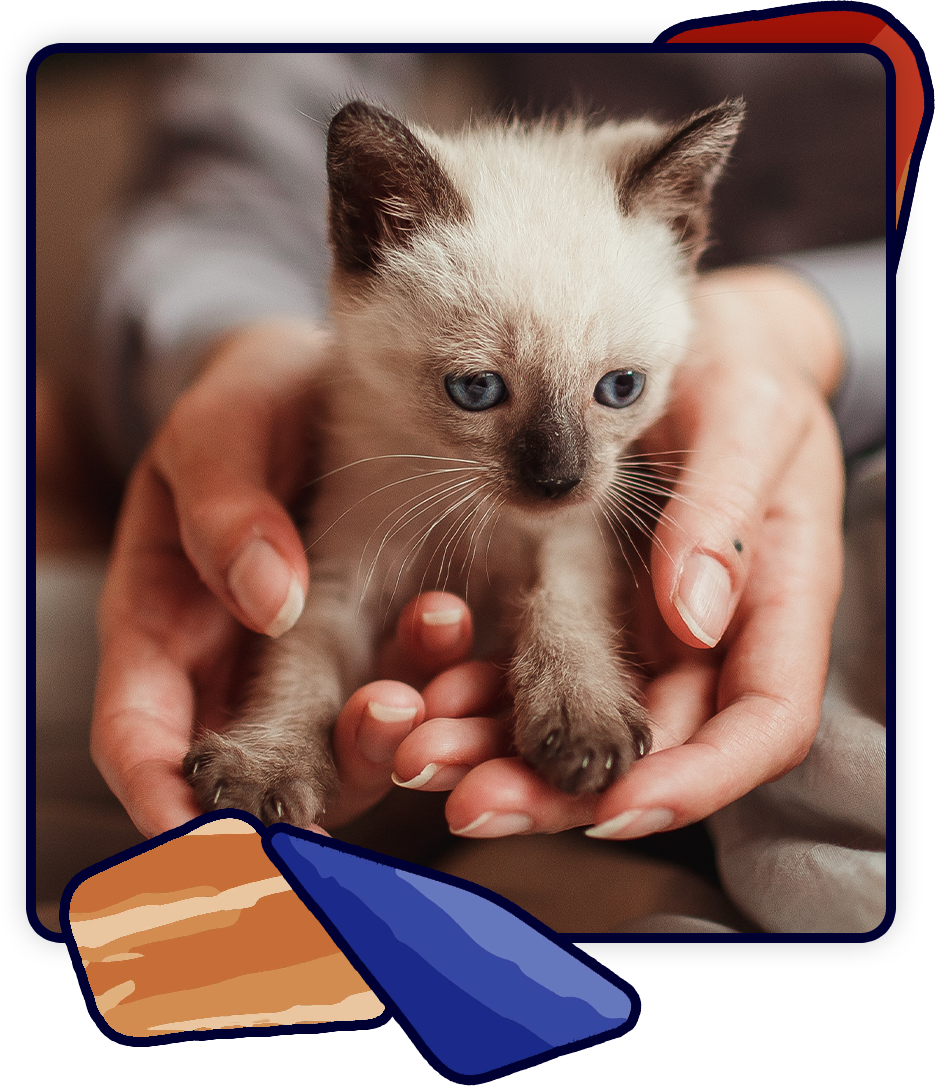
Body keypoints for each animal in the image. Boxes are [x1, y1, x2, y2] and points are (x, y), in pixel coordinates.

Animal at [182, 97, 742, 825]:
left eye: (621, 388)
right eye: (476, 390)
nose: (557, 480)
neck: (470, 516)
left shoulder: (573, 535)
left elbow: (563, 607)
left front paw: (581, 721)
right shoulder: (342, 566)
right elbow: (299, 663)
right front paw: (264, 767)